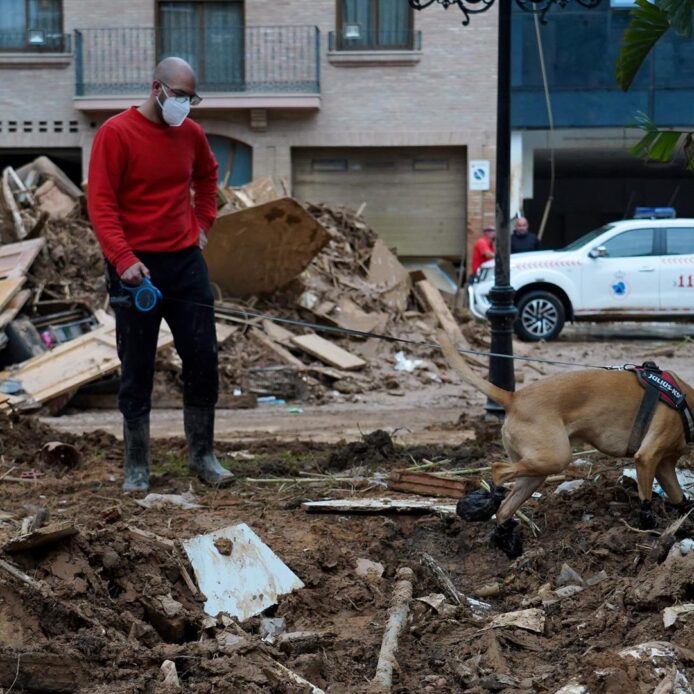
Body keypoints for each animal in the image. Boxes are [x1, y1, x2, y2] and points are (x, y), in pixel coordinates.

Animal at [440, 334, 694, 556]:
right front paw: (650, 525)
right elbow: (646, 499)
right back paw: (485, 502)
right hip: (555, 458)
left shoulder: (664, 466)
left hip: (536, 471)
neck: (686, 402)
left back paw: (506, 537)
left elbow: (679, 496)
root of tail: (513, 398)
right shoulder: (647, 457)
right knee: (497, 471)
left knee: (504, 509)